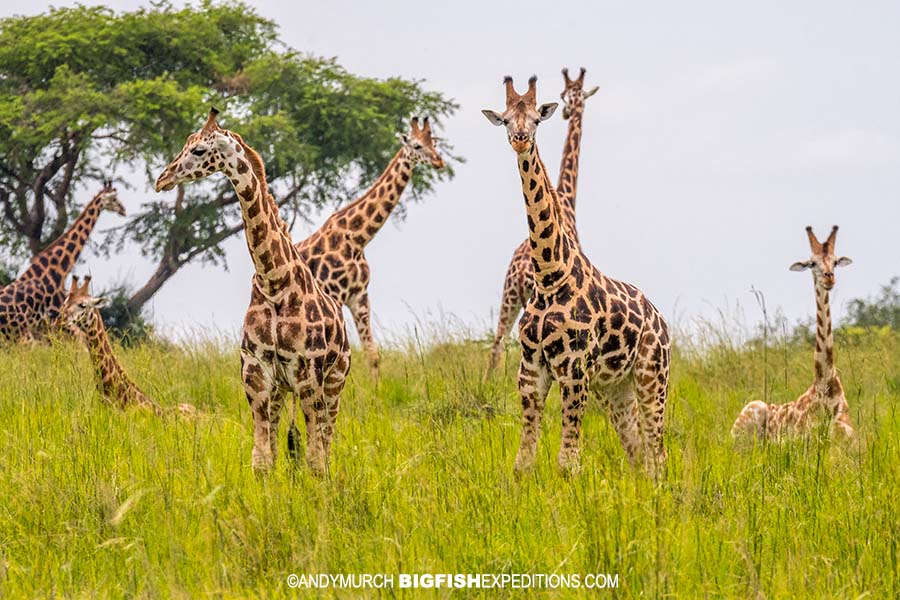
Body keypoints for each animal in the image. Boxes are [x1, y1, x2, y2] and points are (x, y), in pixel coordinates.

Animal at [154, 108, 350, 475]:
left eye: (198, 150)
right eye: (186, 142)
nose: (163, 179)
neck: (275, 284)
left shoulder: (309, 375)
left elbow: (315, 460)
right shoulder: (256, 371)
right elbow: (263, 459)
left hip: (334, 382)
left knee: (325, 446)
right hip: (281, 391)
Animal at [295, 116, 445, 374]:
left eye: (433, 142)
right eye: (417, 146)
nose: (439, 161)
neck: (356, 239)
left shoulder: (360, 297)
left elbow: (372, 356)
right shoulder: (335, 295)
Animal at [486, 68, 598, 376]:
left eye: (574, 96)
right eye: (565, 95)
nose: (569, 111)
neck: (566, 200)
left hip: (509, 293)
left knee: (496, 344)